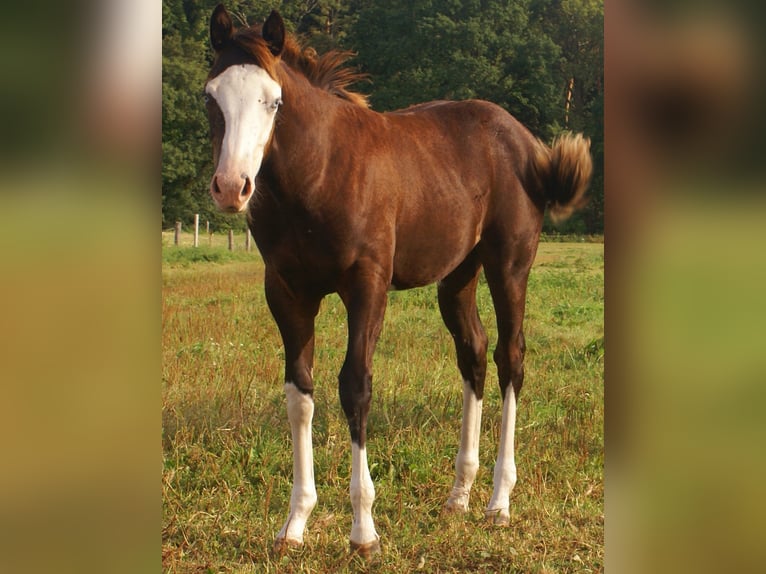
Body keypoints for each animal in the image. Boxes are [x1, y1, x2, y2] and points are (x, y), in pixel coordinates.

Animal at [204, 4, 592, 557]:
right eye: (210, 97)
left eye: (273, 101)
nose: (232, 187)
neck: (319, 174)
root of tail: (528, 145)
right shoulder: (286, 292)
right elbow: (299, 395)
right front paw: (294, 525)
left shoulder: (367, 286)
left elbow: (355, 386)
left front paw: (364, 530)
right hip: (458, 275)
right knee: (473, 353)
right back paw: (459, 495)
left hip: (509, 265)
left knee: (510, 357)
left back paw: (499, 501)